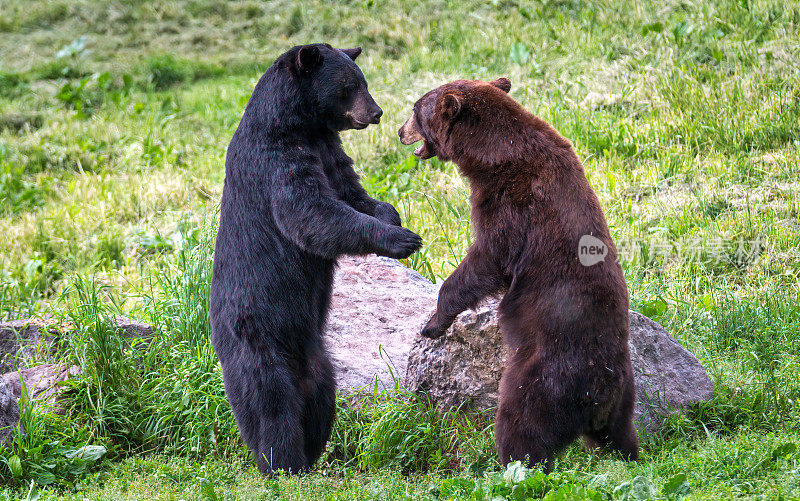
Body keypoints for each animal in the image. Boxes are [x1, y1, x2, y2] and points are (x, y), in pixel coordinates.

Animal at [212, 43, 422, 472]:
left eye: (362, 80)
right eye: (348, 86)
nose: (376, 112)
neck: (298, 126)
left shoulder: (327, 149)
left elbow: (351, 191)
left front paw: (390, 215)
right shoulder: (276, 161)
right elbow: (312, 212)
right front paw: (402, 239)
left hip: (315, 351)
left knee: (322, 393)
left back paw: (310, 453)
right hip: (256, 336)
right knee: (270, 401)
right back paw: (281, 462)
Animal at [398, 77, 636, 468]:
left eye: (416, 109)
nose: (401, 131)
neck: (492, 154)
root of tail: (600, 391)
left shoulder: (512, 201)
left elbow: (488, 258)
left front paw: (434, 323)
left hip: (542, 376)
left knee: (521, 421)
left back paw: (509, 463)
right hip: (625, 395)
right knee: (622, 435)